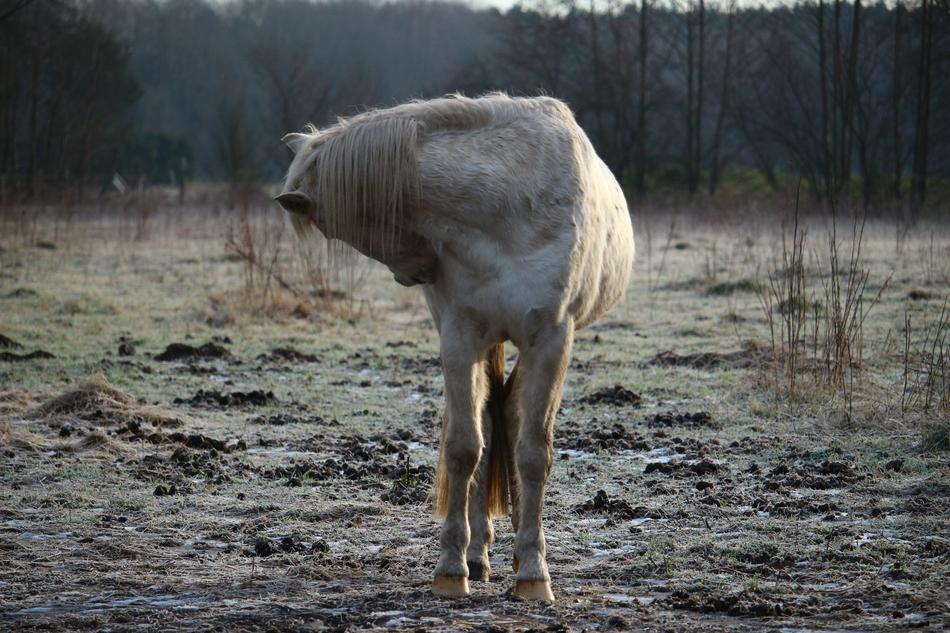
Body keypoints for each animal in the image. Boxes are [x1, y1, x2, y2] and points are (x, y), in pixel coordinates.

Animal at [277, 93, 635, 602]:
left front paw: (534, 574)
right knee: (490, 422)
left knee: (513, 421)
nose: (415, 274)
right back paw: (479, 556)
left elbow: (533, 454)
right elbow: (466, 448)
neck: (505, 206)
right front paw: (451, 569)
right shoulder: (461, 338)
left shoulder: (551, 339)